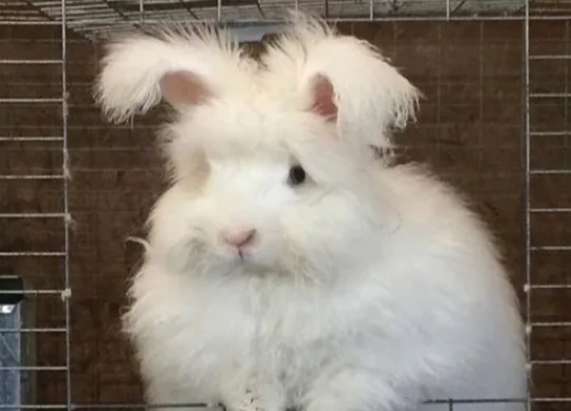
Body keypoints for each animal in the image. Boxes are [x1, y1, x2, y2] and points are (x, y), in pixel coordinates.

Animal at [95, 14, 528, 410]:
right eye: (207, 171)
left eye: (298, 174)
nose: (237, 236)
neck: (269, 284)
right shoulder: (238, 366)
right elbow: (251, 394)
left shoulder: (365, 365)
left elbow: (341, 393)